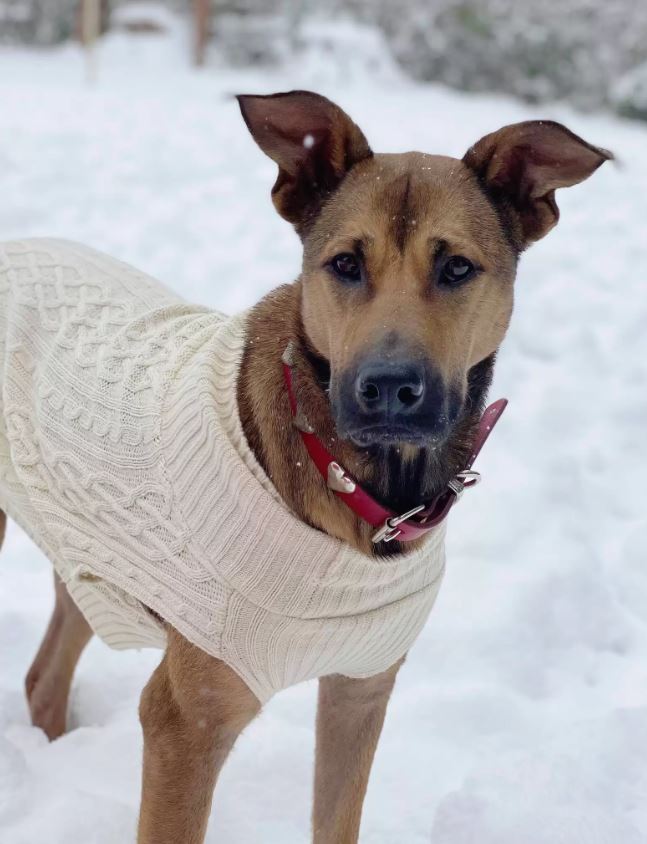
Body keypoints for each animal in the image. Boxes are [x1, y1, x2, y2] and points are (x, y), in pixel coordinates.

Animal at [0, 92, 612, 844]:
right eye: (345, 264)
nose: (389, 387)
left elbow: (337, 818)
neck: (359, 490)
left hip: (91, 552)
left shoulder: (361, 688)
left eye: (456, 269)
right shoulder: (188, 721)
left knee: (45, 676)